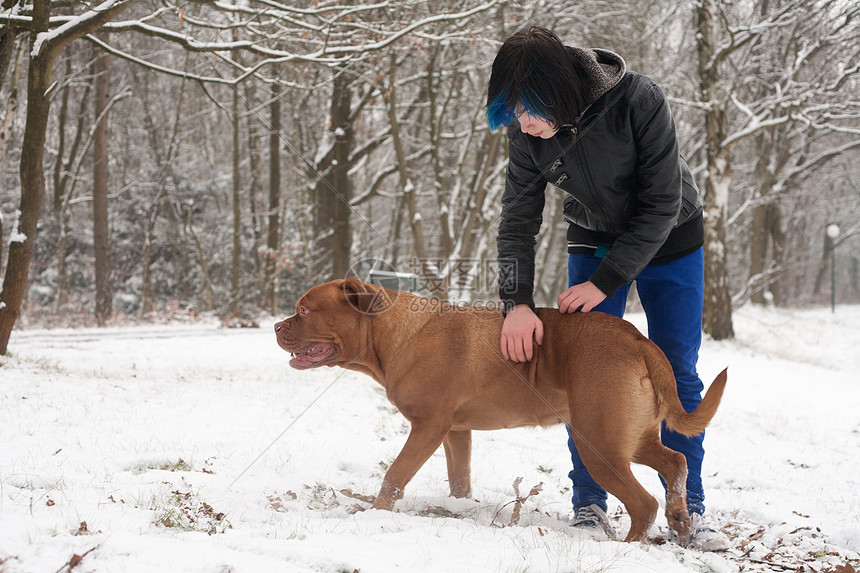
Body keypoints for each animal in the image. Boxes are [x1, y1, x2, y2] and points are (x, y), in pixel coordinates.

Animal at [276, 278, 724, 540]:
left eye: (305, 310)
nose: (277, 326)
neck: (391, 334)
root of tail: (638, 339)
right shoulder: (456, 433)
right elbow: (459, 480)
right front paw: (457, 510)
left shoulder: (427, 427)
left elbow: (394, 476)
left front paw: (373, 515)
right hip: (627, 437)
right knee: (676, 461)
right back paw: (680, 517)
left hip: (599, 444)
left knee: (643, 504)